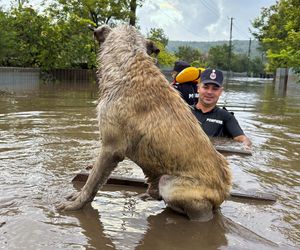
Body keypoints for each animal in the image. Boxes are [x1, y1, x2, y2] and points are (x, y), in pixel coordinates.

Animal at [56, 24, 232, 222]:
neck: (129, 65)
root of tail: (224, 192)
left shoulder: (111, 148)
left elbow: (91, 182)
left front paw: (75, 204)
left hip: (170, 184)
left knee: (200, 211)